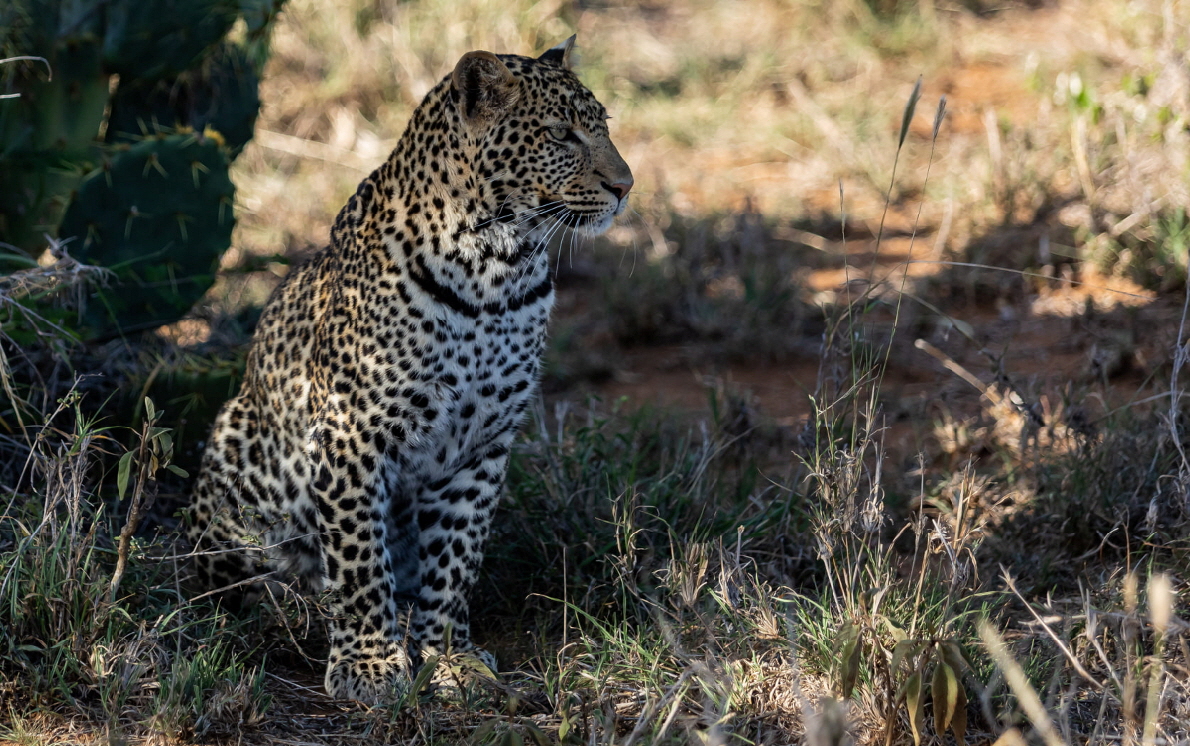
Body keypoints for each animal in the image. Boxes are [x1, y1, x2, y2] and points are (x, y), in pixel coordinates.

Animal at [185, 39, 633, 704]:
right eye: (561, 134)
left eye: (602, 127)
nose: (626, 186)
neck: (496, 269)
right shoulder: (352, 433)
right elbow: (359, 558)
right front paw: (369, 665)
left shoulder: (481, 442)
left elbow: (457, 554)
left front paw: (449, 655)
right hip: (235, 469)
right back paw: (292, 604)